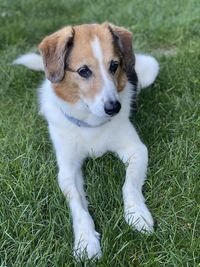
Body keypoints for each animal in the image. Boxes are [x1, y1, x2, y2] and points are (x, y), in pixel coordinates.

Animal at [14, 22, 159, 260]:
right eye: (83, 71)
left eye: (114, 65)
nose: (114, 107)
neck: (91, 123)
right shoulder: (67, 169)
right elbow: (78, 206)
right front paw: (85, 240)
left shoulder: (136, 149)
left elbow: (129, 185)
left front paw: (137, 214)